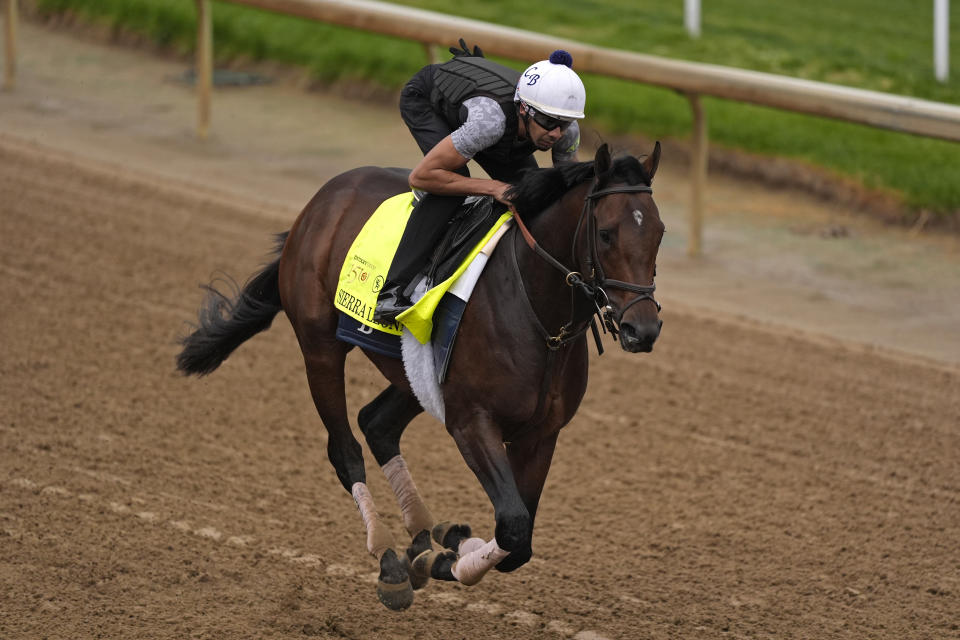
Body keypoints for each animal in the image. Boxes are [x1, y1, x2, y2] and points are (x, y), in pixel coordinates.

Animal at [176, 141, 664, 608]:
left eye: (658, 233)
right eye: (606, 233)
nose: (643, 329)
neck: (540, 318)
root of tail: (321, 199)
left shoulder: (541, 434)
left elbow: (519, 541)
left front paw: (450, 544)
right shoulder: (471, 422)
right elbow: (512, 524)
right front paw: (446, 560)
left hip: (418, 374)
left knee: (377, 424)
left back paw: (426, 536)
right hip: (320, 347)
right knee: (344, 449)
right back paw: (389, 557)